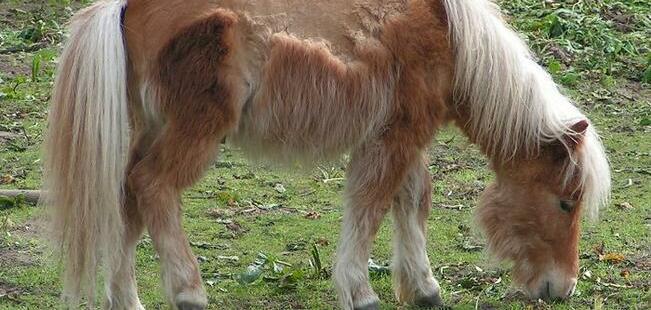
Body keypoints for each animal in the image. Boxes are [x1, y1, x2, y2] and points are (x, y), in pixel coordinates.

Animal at [42, 0, 612, 308]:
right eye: (566, 201)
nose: (562, 288)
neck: (448, 35)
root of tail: (124, 8)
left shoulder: (402, 136)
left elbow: (413, 201)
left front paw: (423, 287)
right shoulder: (394, 138)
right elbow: (370, 208)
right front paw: (361, 291)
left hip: (149, 128)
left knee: (125, 200)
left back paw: (127, 298)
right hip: (193, 134)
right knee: (152, 187)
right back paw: (188, 292)